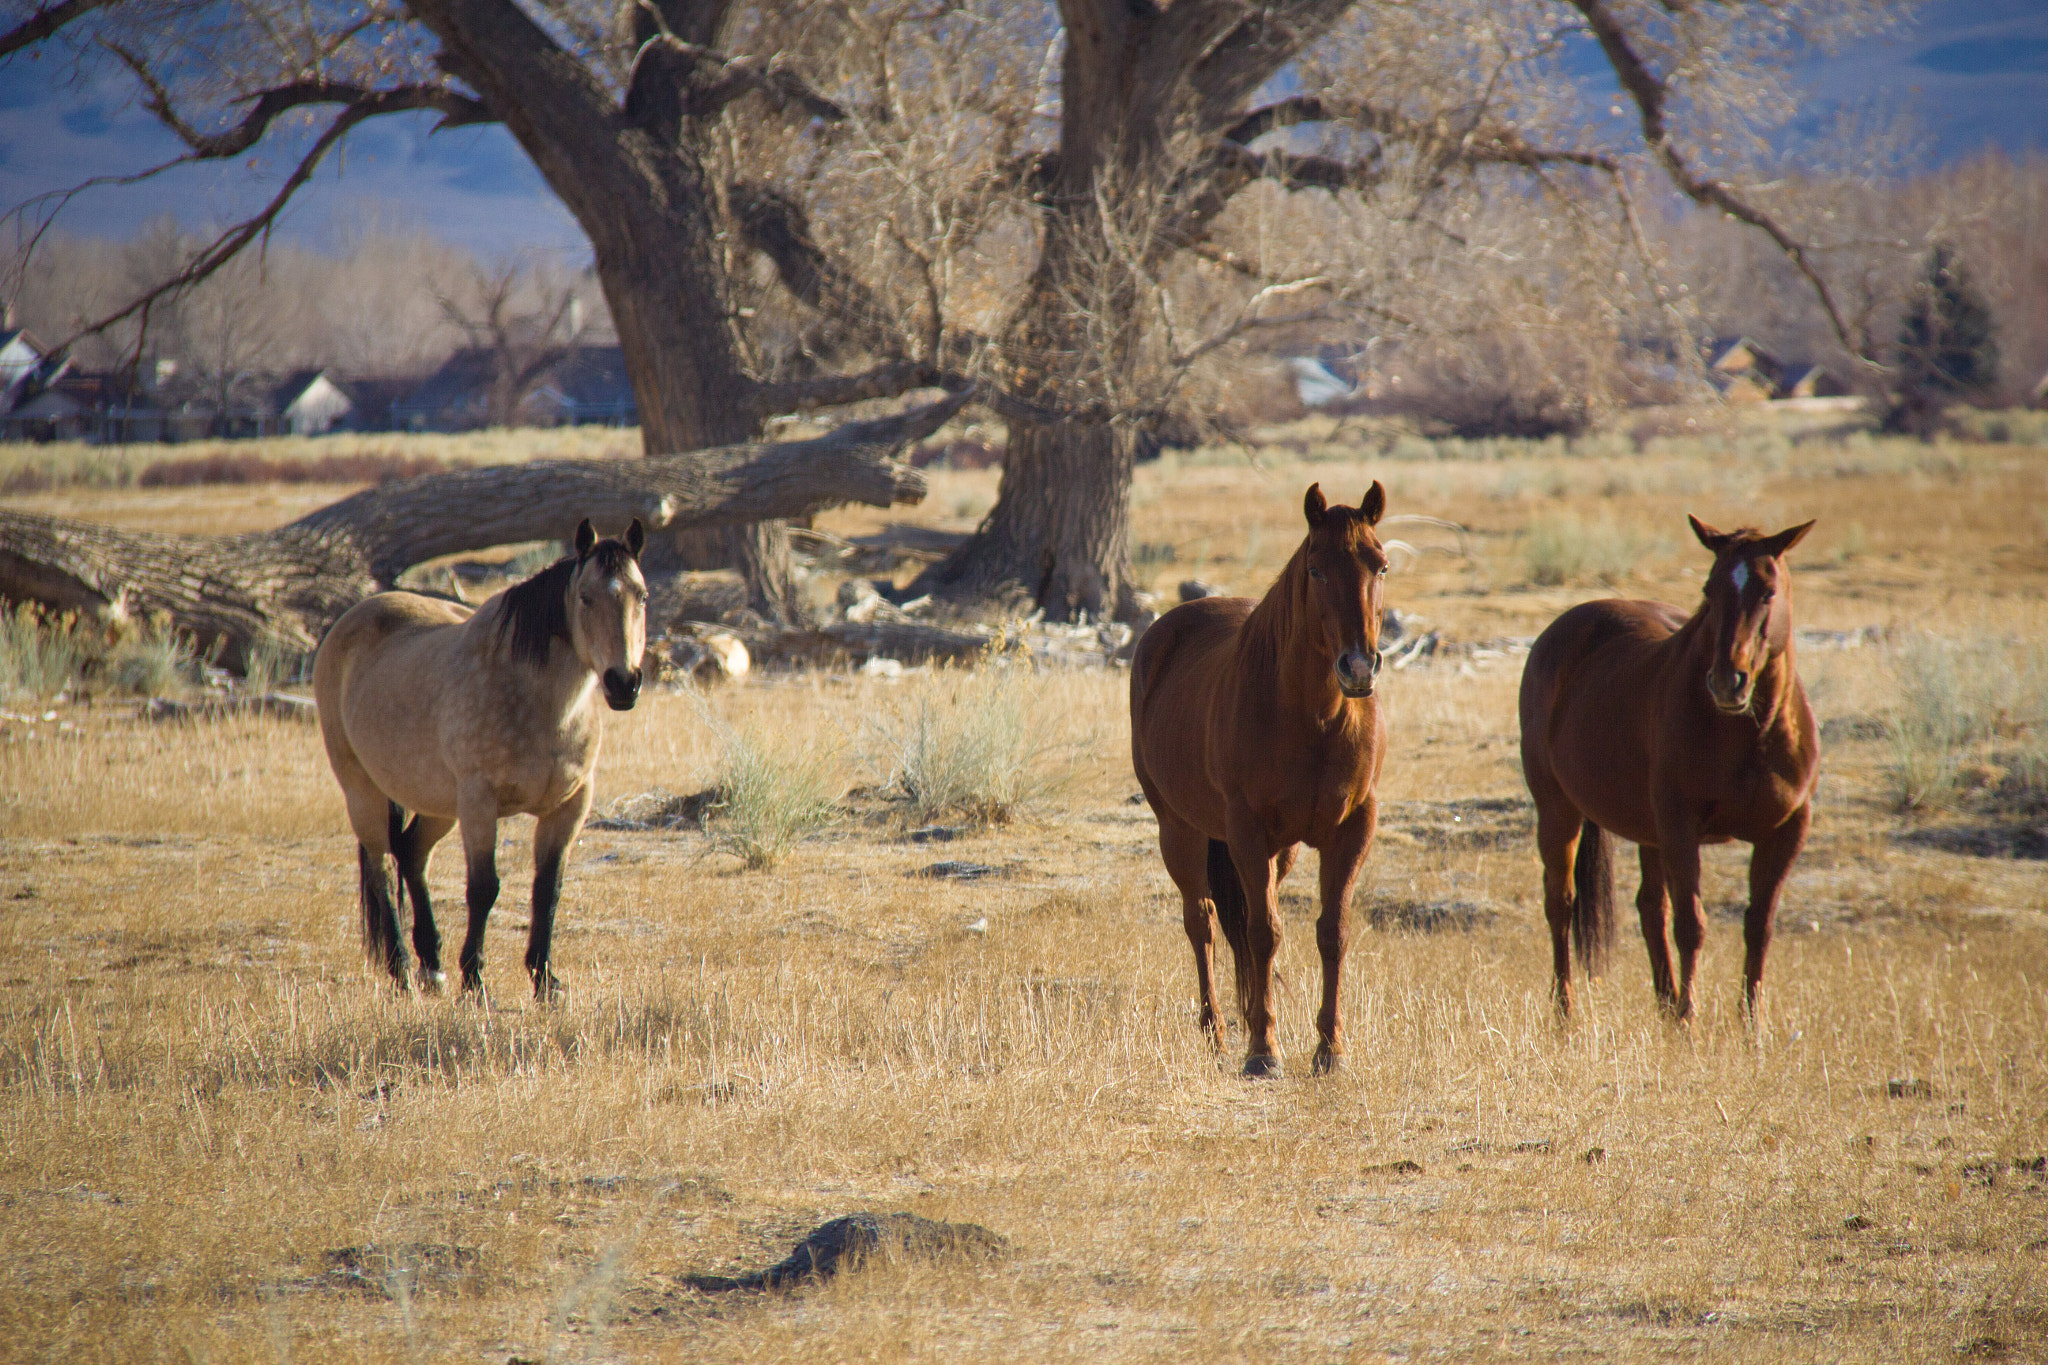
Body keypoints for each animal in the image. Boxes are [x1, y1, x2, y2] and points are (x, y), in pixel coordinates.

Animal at [312, 518, 648, 1000]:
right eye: (586, 597)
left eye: (642, 595)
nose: (623, 683)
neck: (541, 703)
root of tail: (349, 623)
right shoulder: (479, 803)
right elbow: (484, 888)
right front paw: (475, 979)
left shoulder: (570, 805)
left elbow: (548, 889)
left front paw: (545, 979)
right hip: (364, 791)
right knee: (381, 871)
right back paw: (402, 971)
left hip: (438, 804)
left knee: (411, 854)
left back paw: (432, 965)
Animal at [1131, 482, 1390, 1077]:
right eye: (1316, 570)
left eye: (1382, 565)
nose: (1358, 668)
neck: (1313, 718)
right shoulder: (1245, 830)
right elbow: (1263, 931)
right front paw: (1263, 1051)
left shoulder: (1352, 828)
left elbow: (1331, 931)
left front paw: (1329, 1048)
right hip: (1179, 831)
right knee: (1201, 923)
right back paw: (1218, 1033)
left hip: (1281, 850)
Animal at [1517, 514, 1819, 1021]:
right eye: (1709, 589)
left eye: (1768, 592)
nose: (1727, 681)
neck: (1749, 733)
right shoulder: (1680, 827)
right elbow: (1691, 925)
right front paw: (1689, 1019)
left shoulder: (1787, 830)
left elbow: (1759, 925)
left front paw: (1750, 1024)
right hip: (1559, 810)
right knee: (1560, 903)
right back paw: (1565, 1014)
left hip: (1647, 830)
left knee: (1648, 909)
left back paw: (1663, 1006)